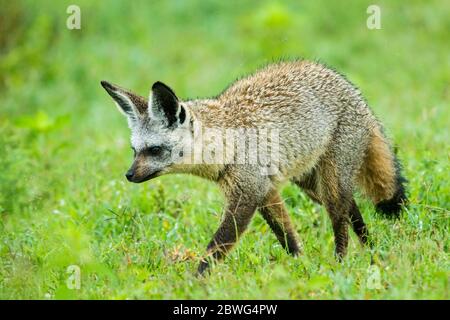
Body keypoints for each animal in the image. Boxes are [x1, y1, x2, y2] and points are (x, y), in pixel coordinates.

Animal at [101, 60, 408, 276]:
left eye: (154, 150)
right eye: (134, 151)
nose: (128, 175)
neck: (228, 144)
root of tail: (353, 91)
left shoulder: (247, 195)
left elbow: (216, 246)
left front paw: (195, 281)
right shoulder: (266, 193)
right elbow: (288, 238)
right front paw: (301, 266)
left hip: (330, 186)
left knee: (341, 220)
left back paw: (342, 262)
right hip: (314, 187)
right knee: (352, 209)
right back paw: (372, 251)